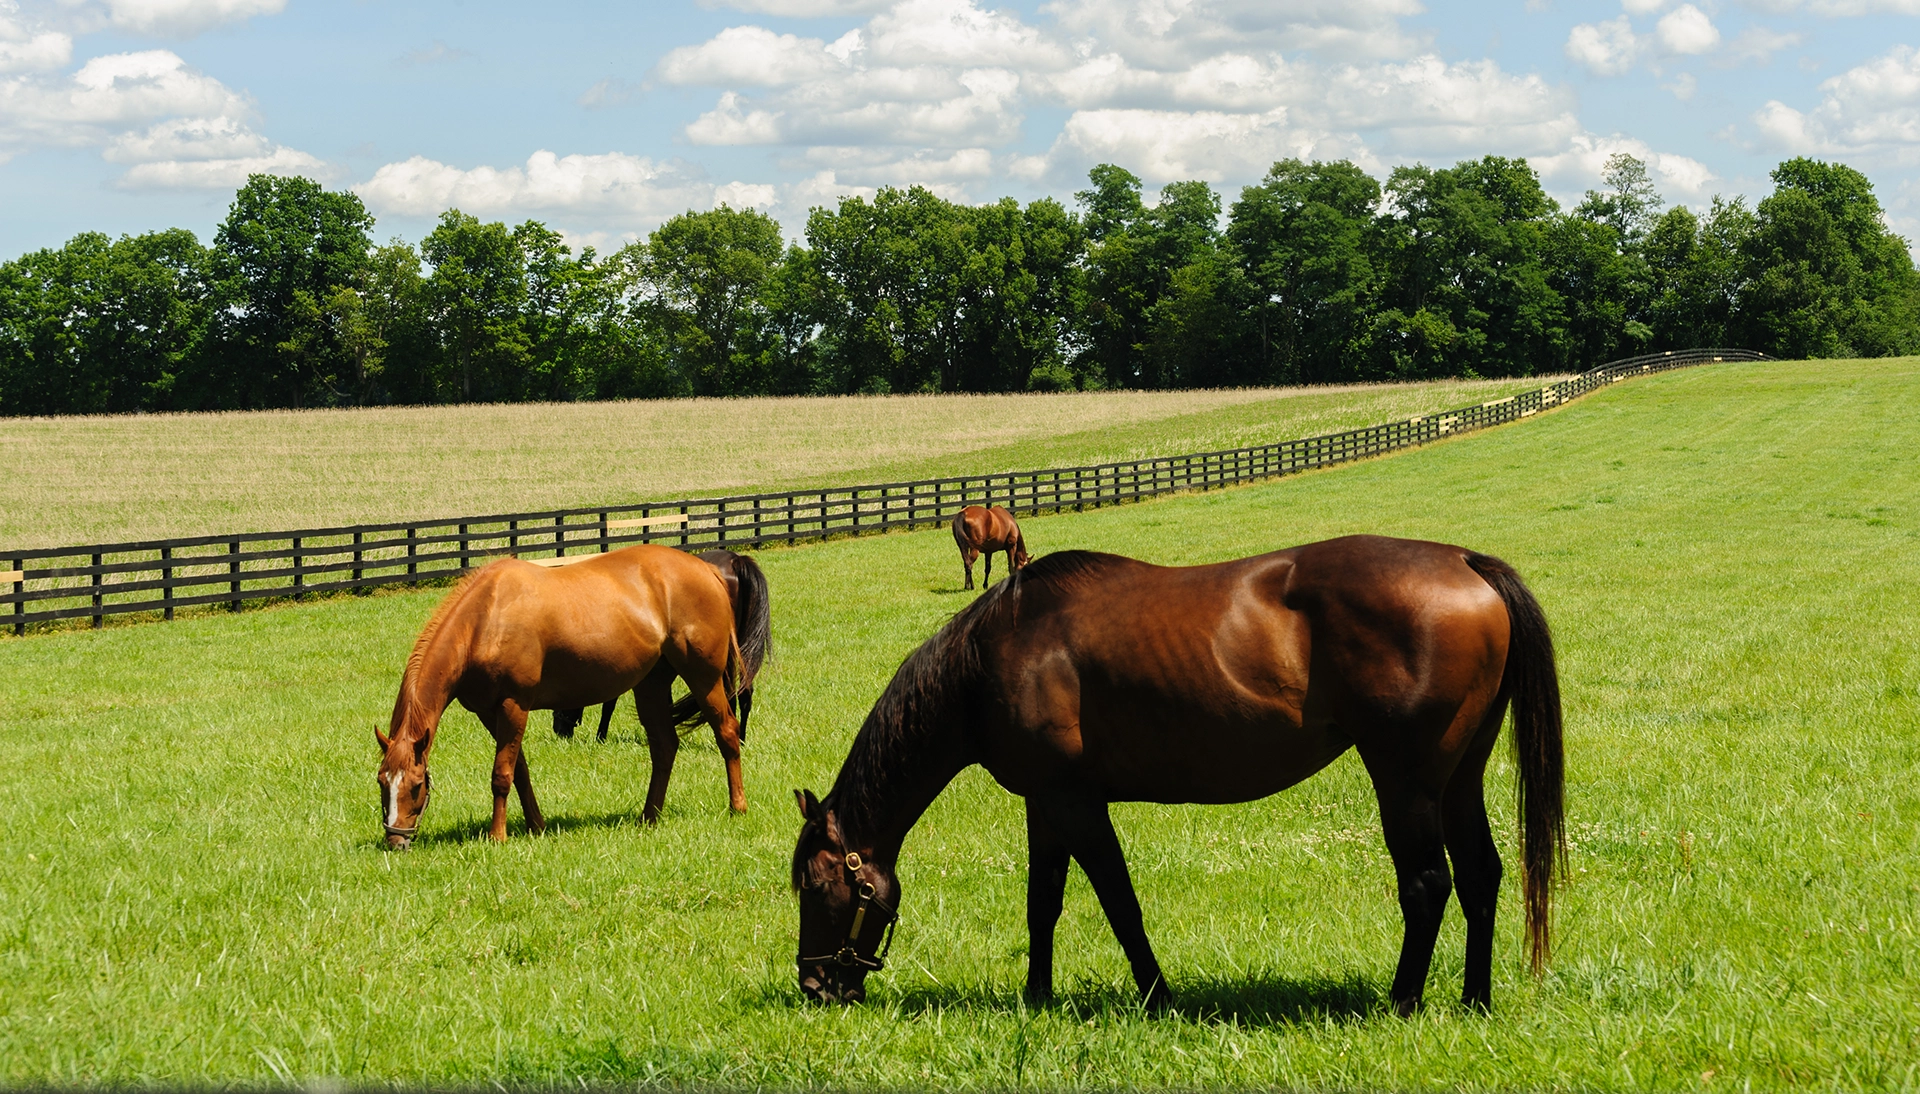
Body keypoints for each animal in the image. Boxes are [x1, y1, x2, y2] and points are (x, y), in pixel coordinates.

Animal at [370, 541, 744, 848]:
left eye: (416, 784)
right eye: (381, 782)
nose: (396, 840)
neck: (486, 619)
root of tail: (707, 570)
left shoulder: (514, 705)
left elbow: (501, 774)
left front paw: (497, 836)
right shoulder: (489, 712)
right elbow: (519, 770)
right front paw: (536, 825)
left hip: (704, 678)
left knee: (727, 733)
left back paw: (737, 807)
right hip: (650, 686)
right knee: (665, 746)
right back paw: (648, 816)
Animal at [552, 545, 768, 740]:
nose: (560, 731)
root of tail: (735, 560)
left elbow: (611, 702)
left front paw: (601, 735)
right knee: (744, 692)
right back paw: (741, 738)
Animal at [791, 537, 1559, 1013]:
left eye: (821, 886)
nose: (814, 986)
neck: (995, 653)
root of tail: (1465, 563)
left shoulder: (1077, 804)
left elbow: (1120, 905)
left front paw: (1157, 996)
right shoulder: (1045, 804)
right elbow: (1043, 903)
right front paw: (1036, 997)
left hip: (1406, 782)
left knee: (1428, 884)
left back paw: (1402, 1002)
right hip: (1458, 779)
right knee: (1483, 874)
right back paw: (1474, 1000)